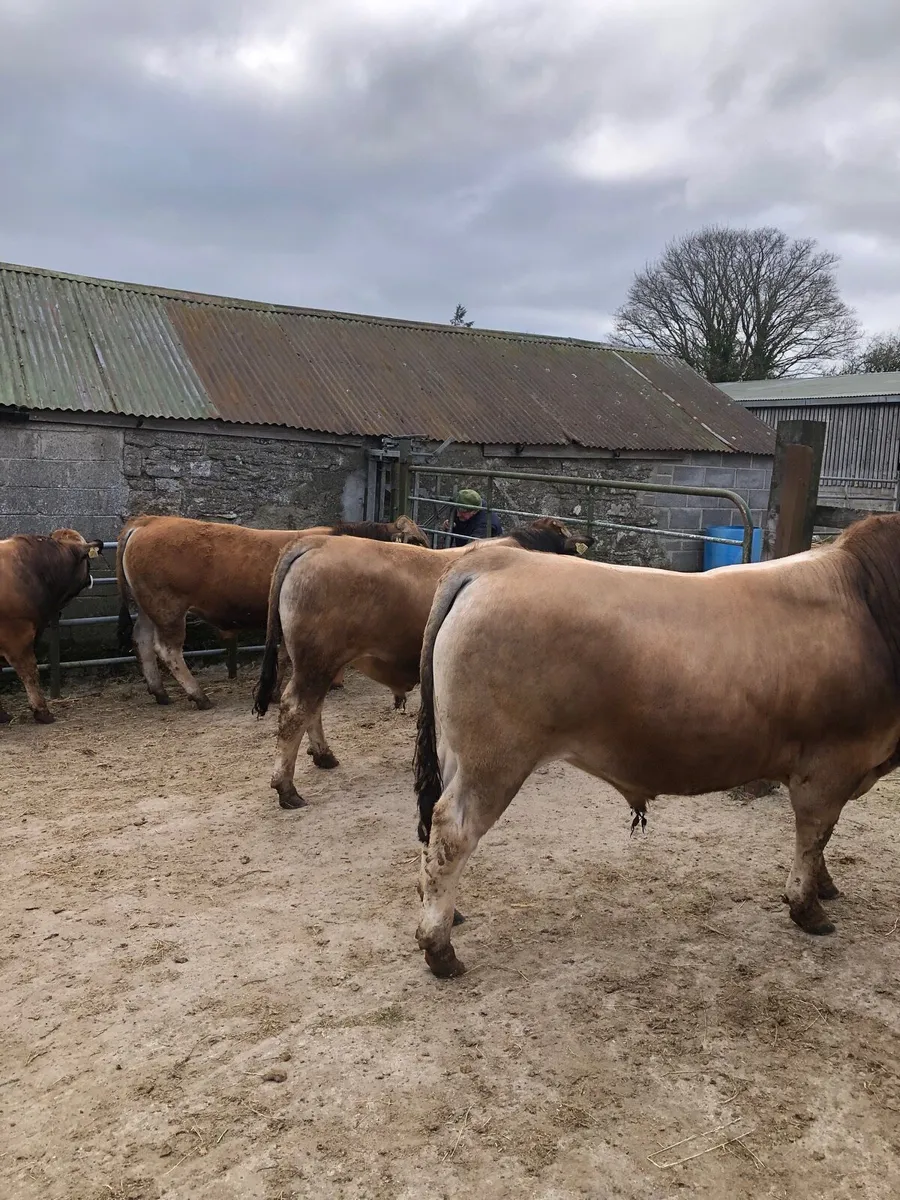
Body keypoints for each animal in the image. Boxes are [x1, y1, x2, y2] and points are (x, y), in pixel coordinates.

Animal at [116, 514, 428, 710]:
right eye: (415, 540)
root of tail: (149, 520)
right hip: (168, 608)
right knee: (167, 649)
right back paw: (199, 696)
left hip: (149, 608)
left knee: (142, 641)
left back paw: (160, 692)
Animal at [252, 519, 594, 811]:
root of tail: (315, 542)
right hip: (315, 661)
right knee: (296, 710)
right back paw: (286, 788)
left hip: (315, 663)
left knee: (313, 708)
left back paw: (324, 756)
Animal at [412, 514, 900, 978]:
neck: (870, 607)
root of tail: (493, 560)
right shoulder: (832, 763)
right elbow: (815, 834)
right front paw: (808, 908)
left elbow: (820, 841)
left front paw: (825, 886)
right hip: (493, 761)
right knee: (452, 834)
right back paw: (440, 949)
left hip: (457, 755)